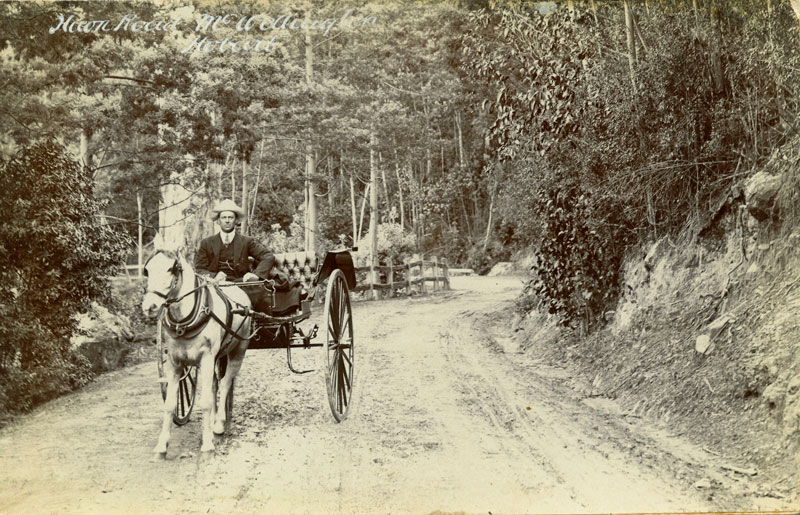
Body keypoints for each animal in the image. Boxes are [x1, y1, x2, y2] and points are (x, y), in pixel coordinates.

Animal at [141, 233, 252, 456]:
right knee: (216, 385)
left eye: (171, 268)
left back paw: (219, 423)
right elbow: (170, 404)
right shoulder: (174, 363)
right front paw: (162, 444)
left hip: (238, 351)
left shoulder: (207, 359)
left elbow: (206, 402)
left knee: (225, 383)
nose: (149, 307)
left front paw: (207, 442)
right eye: (147, 269)